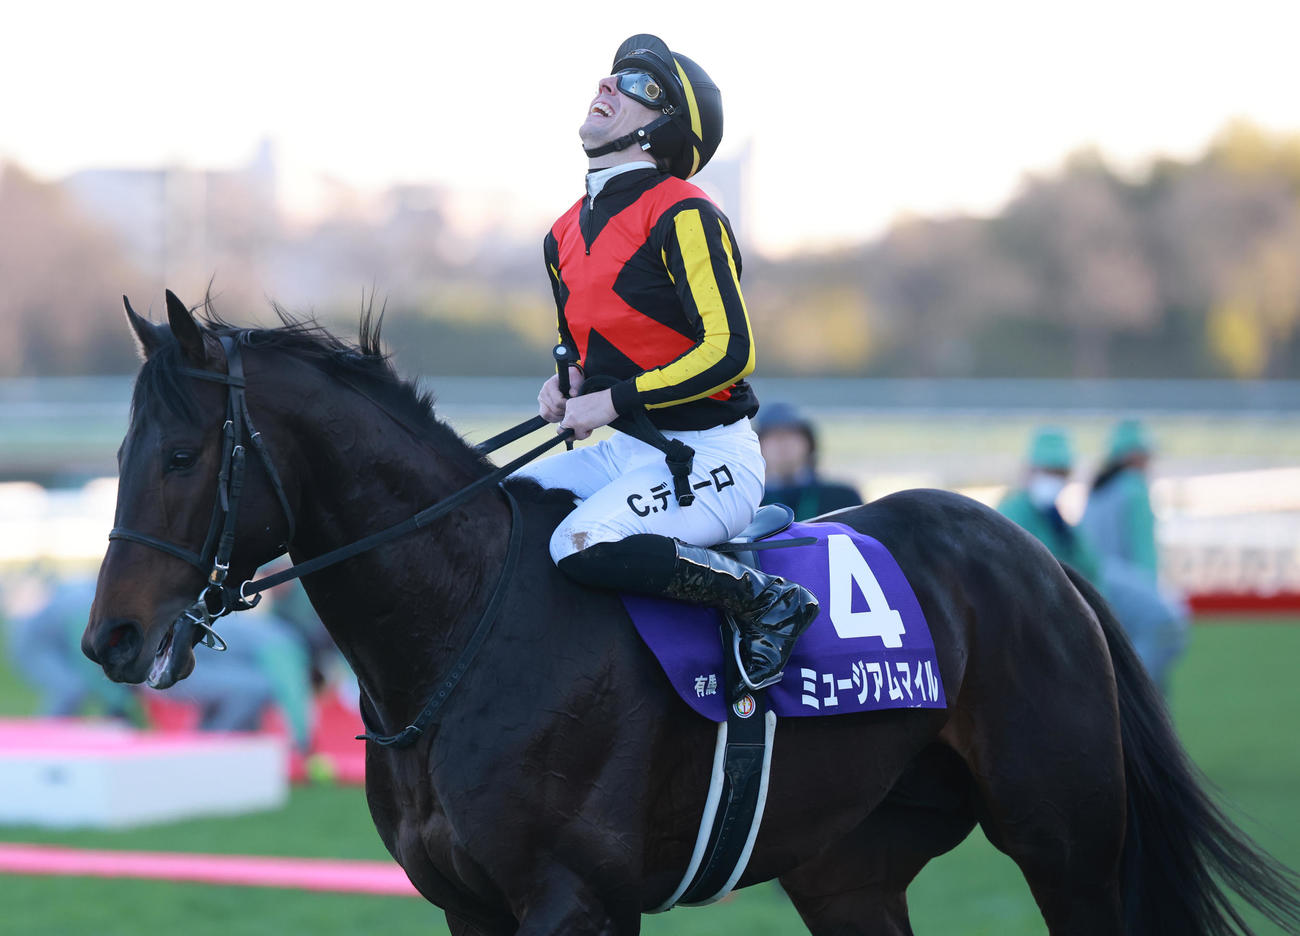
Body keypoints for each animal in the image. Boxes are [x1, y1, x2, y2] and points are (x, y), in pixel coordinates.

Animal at [83, 291, 1300, 936]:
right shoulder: (470, 907)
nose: (112, 638)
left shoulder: (573, 903)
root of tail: (1032, 554)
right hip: (849, 870)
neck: (462, 635)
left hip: (1067, 843)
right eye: (123, 451)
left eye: (183, 455)